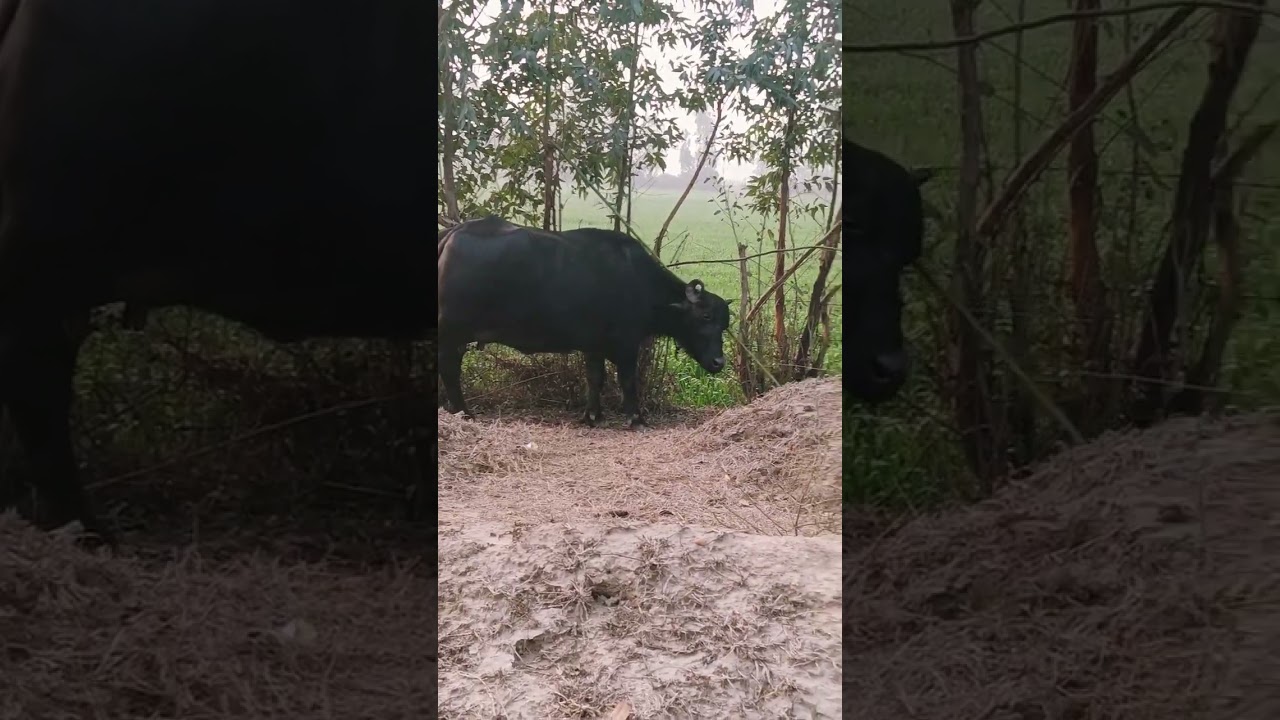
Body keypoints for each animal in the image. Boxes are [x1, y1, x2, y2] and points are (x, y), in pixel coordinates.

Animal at [437, 217, 732, 428]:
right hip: (452, 333)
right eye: (705, 316)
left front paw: (592, 415)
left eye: (725, 325)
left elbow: (595, 378)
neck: (639, 282)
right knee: (450, 372)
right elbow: (628, 380)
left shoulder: (594, 346)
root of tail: (452, 234)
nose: (719, 362)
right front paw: (636, 418)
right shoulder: (627, 345)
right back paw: (464, 412)